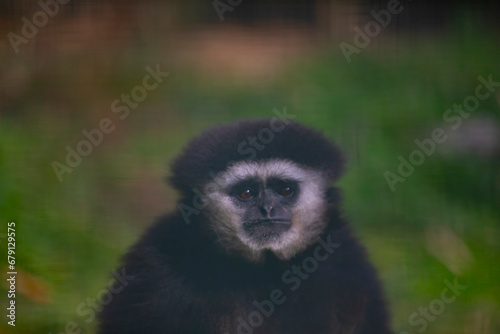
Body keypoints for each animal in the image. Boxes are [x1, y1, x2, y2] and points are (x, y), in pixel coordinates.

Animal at [98, 118, 394, 332]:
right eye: (246, 193)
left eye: (285, 190)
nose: (267, 209)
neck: (263, 273)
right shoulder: (157, 267)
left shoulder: (347, 263)